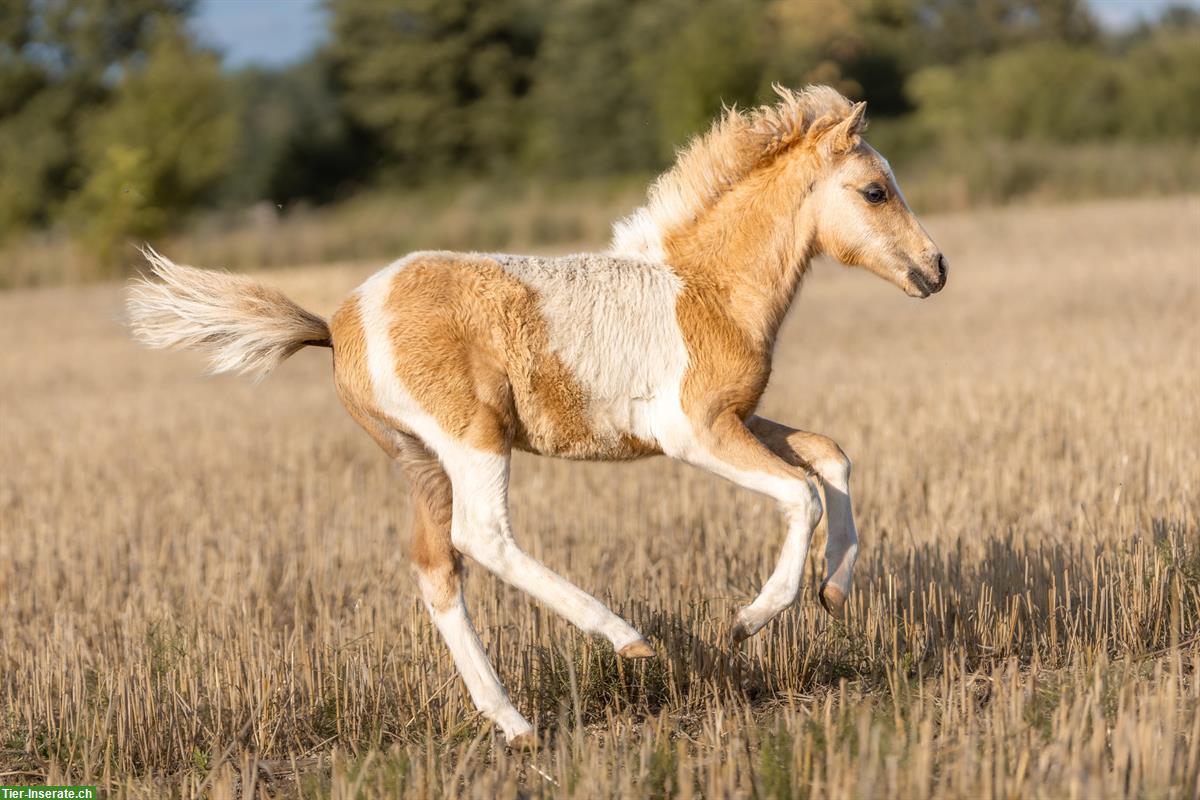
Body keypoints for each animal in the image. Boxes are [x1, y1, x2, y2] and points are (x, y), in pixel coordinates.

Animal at [124, 84, 945, 748]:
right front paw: (748, 620)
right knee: (482, 536)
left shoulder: (741, 417)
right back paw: (625, 638)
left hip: (421, 461)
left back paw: (515, 723)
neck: (704, 288)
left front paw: (834, 591)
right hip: (474, 440)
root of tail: (337, 323)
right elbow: (801, 493)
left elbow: (831, 455)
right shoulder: (694, 433)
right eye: (875, 191)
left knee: (437, 569)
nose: (936, 270)